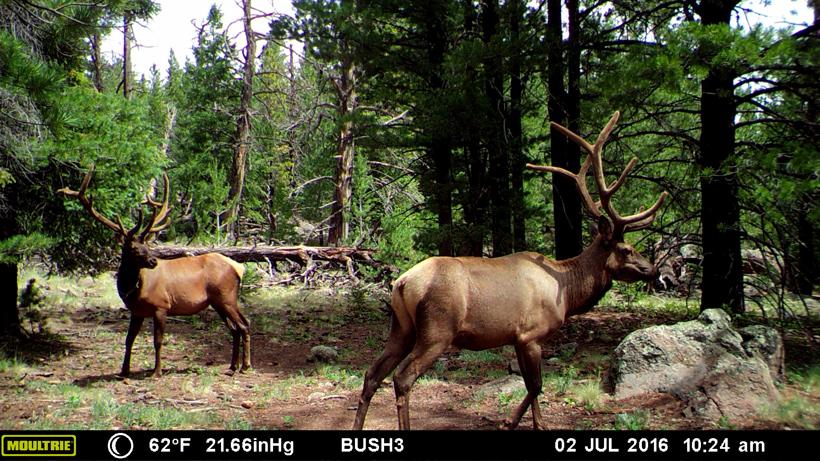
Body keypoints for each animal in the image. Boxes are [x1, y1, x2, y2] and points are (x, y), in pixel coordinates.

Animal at [59, 166, 251, 378]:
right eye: (134, 248)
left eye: (147, 245)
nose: (153, 261)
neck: (133, 289)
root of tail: (238, 268)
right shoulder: (136, 311)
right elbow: (129, 340)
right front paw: (124, 371)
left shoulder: (161, 306)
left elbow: (157, 341)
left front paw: (156, 371)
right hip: (217, 301)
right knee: (234, 328)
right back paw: (232, 366)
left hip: (226, 297)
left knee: (244, 324)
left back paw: (245, 366)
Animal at [352, 111, 668, 430]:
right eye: (626, 249)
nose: (653, 270)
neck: (567, 293)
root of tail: (402, 282)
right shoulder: (531, 334)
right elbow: (537, 385)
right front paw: (511, 422)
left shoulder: (516, 338)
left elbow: (531, 385)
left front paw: (535, 424)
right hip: (437, 329)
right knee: (402, 377)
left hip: (402, 327)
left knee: (372, 374)